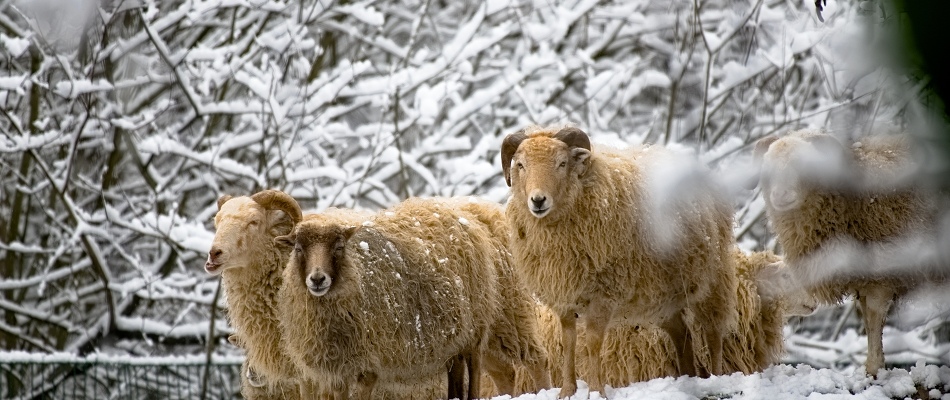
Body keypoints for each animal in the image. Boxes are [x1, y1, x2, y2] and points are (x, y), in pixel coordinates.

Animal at [276, 198, 506, 400]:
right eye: (298, 248)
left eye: (339, 247)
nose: (317, 279)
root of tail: (456, 212)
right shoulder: (337, 371)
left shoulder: (369, 365)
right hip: (453, 338)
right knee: (455, 368)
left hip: (476, 328)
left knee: (474, 366)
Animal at [502, 126, 740, 396]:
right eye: (521, 165)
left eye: (562, 163)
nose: (538, 200)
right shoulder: (564, 296)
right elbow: (568, 344)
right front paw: (567, 392)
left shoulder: (604, 294)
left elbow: (593, 342)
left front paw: (596, 391)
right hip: (665, 296)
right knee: (683, 334)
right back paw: (687, 377)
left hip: (712, 278)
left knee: (713, 332)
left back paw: (717, 378)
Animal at [756, 130, 948, 376]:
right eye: (767, 169)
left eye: (806, 166)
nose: (779, 195)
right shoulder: (865, 278)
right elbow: (867, 320)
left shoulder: (882, 273)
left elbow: (874, 319)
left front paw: (873, 370)